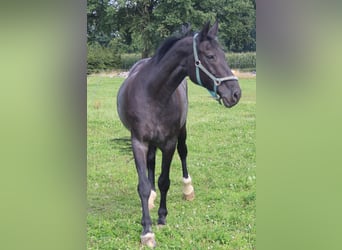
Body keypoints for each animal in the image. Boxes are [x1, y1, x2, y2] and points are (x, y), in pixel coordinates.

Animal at [117, 20, 240, 247]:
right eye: (211, 56)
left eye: (224, 55)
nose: (236, 94)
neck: (152, 95)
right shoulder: (138, 141)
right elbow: (143, 185)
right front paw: (146, 230)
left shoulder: (169, 143)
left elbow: (164, 181)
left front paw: (161, 217)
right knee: (151, 162)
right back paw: (152, 198)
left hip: (182, 132)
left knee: (183, 153)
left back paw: (187, 189)